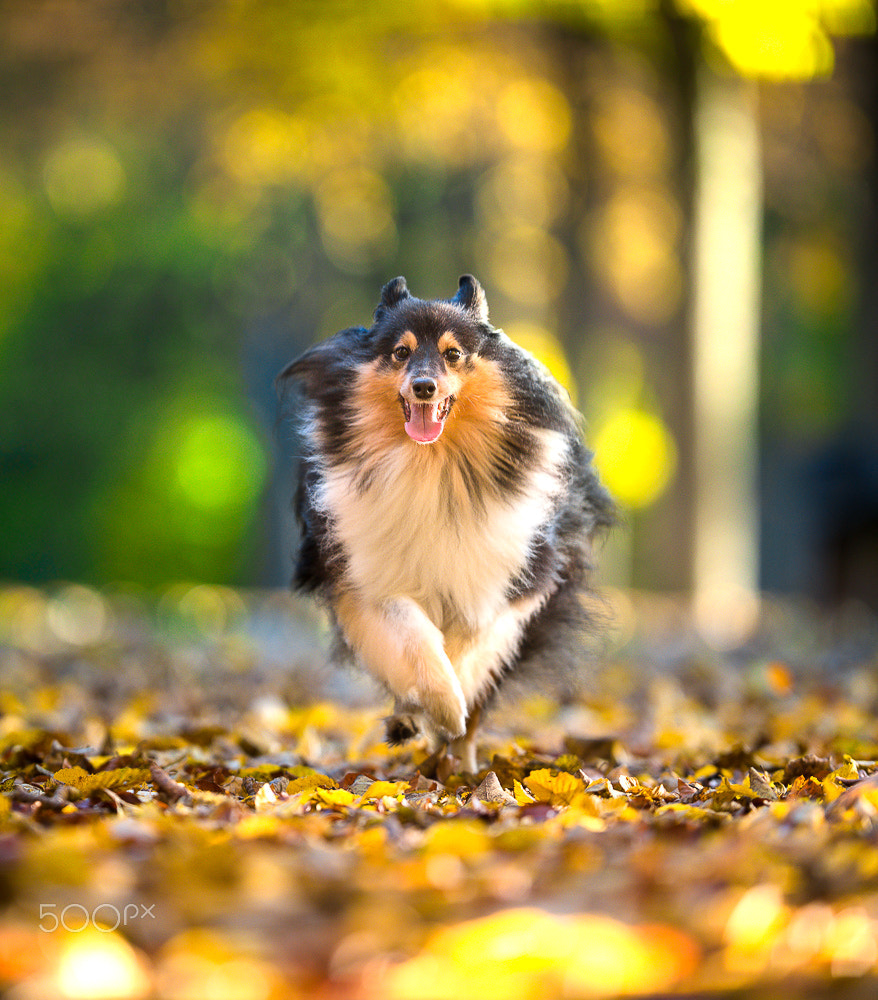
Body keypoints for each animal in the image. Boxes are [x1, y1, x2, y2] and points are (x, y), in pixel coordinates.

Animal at [280, 274, 612, 772]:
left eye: (453, 354)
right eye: (400, 352)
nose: (423, 387)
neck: (433, 467)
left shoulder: (515, 576)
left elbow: (471, 645)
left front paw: (452, 708)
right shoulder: (361, 574)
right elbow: (412, 633)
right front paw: (440, 703)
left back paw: (462, 765)